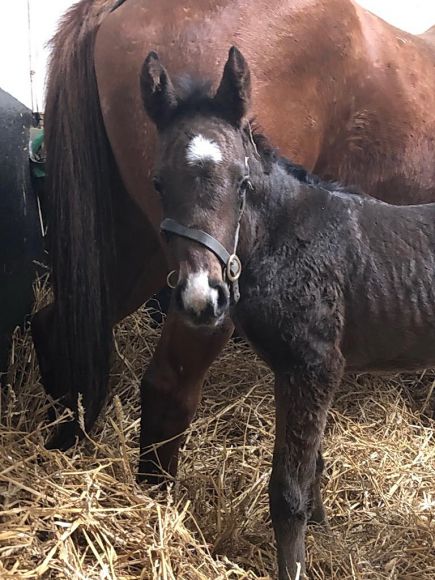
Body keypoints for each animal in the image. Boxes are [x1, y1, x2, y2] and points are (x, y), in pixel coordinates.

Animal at [141, 47, 435, 576]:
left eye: (242, 182)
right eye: (158, 183)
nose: (202, 298)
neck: (287, 238)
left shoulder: (313, 364)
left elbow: (287, 491)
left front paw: (294, 564)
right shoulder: (291, 369)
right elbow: (313, 462)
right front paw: (322, 524)